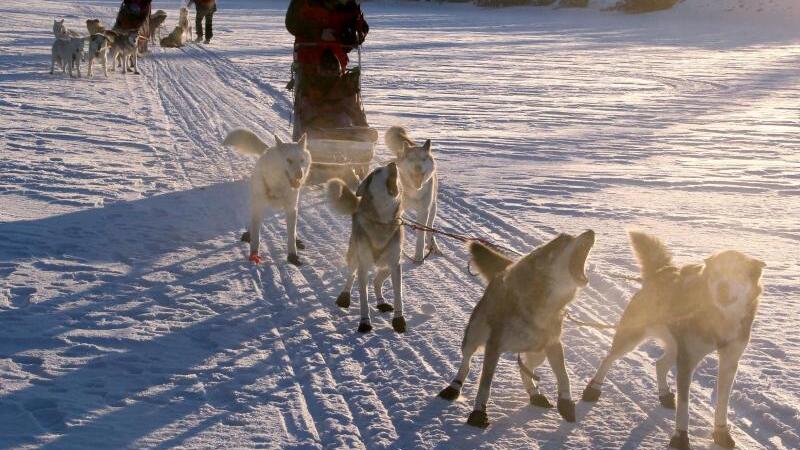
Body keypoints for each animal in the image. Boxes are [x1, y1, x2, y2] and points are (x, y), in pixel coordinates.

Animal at [225, 128, 316, 266]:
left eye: (302, 160)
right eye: (289, 160)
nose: (299, 175)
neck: (278, 186)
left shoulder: (291, 209)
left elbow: (291, 234)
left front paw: (292, 255)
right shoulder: (258, 207)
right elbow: (256, 236)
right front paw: (254, 253)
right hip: (256, 203)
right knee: (253, 224)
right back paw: (249, 233)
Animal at [328, 163, 410, 334]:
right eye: (377, 171)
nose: (393, 163)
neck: (382, 222)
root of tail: (358, 205)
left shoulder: (395, 265)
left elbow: (398, 295)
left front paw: (398, 320)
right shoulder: (363, 265)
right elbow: (363, 299)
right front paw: (365, 322)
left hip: (388, 265)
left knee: (376, 281)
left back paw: (381, 302)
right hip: (354, 256)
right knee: (351, 275)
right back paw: (344, 296)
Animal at [384, 125, 440, 262]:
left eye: (423, 159)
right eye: (411, 159)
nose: (417, 167)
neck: (414, 191)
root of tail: (412, 144)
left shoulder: (424, 211)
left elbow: (421, 235)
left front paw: (418, 256)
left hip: (433, 208)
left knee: (430, 229)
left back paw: (433, 245)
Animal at [440, 230, 596, 428]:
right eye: (564, 239)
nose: (590, 231)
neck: (542, 306)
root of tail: (507, 267)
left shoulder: (554, 344)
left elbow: (564, 376)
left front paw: (565, 402)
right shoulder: (493, 347)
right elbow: (485, 385)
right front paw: (478, 413)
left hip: (539, 352)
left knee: (524, 368)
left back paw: (535, 394)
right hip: (474, 336)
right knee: (466, 363)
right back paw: (454, 386)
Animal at [580, 232, 764, 450]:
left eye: (739, 273)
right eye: (716, 273)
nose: (722, 288)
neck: (721, 317)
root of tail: (661, 272)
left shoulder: (729, 361)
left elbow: (722, 404)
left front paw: (721, 432)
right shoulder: (687, 362)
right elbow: (684, 408)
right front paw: (680, 437)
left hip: (676, 347)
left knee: (659, 364)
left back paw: (665, 395)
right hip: (632, 337)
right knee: (608, 358)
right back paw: (593, 388)